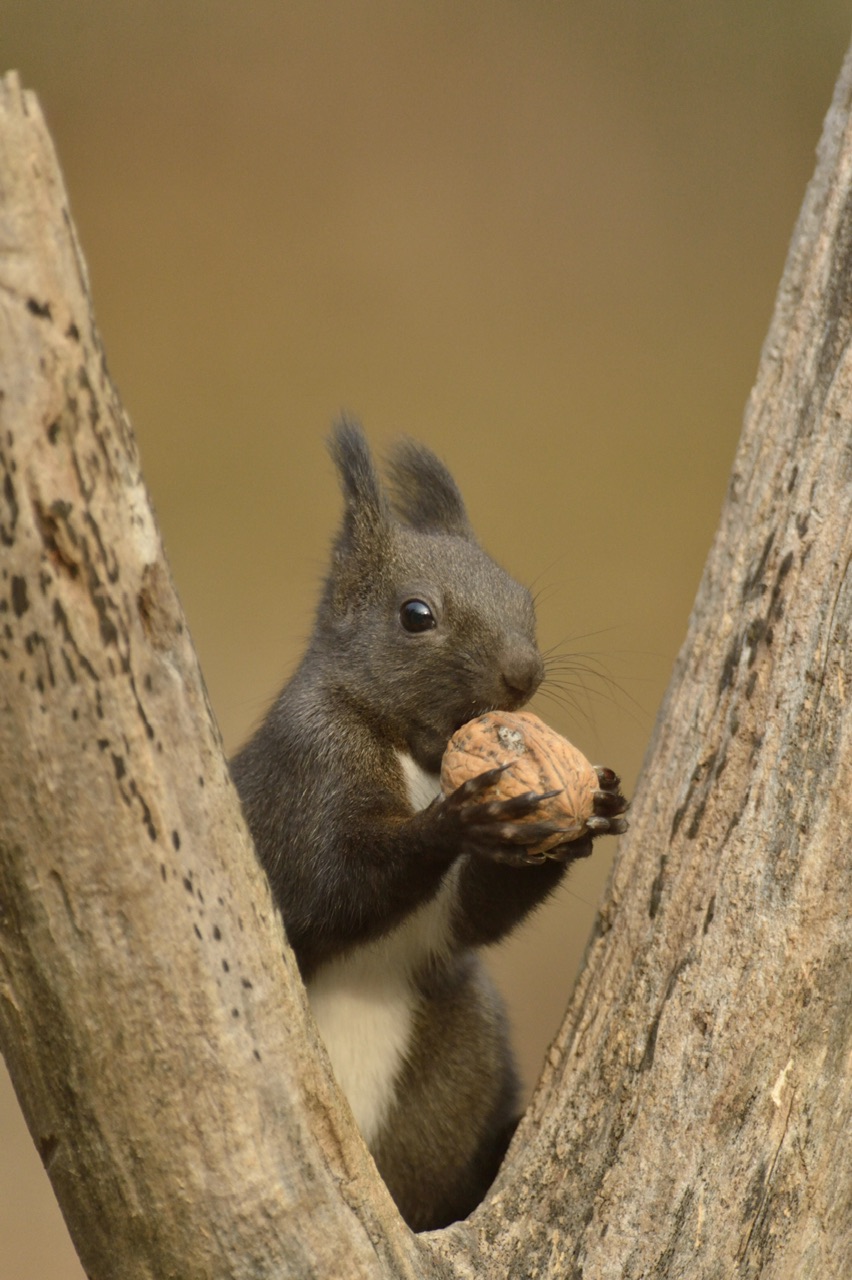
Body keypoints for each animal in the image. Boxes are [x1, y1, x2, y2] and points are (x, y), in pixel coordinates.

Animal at [230, 421, 626, 1231]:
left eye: (523, 598)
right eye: (417, 615)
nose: (525, 672)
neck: (417, 749)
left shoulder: (450, 923)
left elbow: (473, 916)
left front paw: (585, 815)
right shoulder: (303, 773)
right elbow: (328, 886)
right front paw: (459, 819)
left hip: (459, 1042)